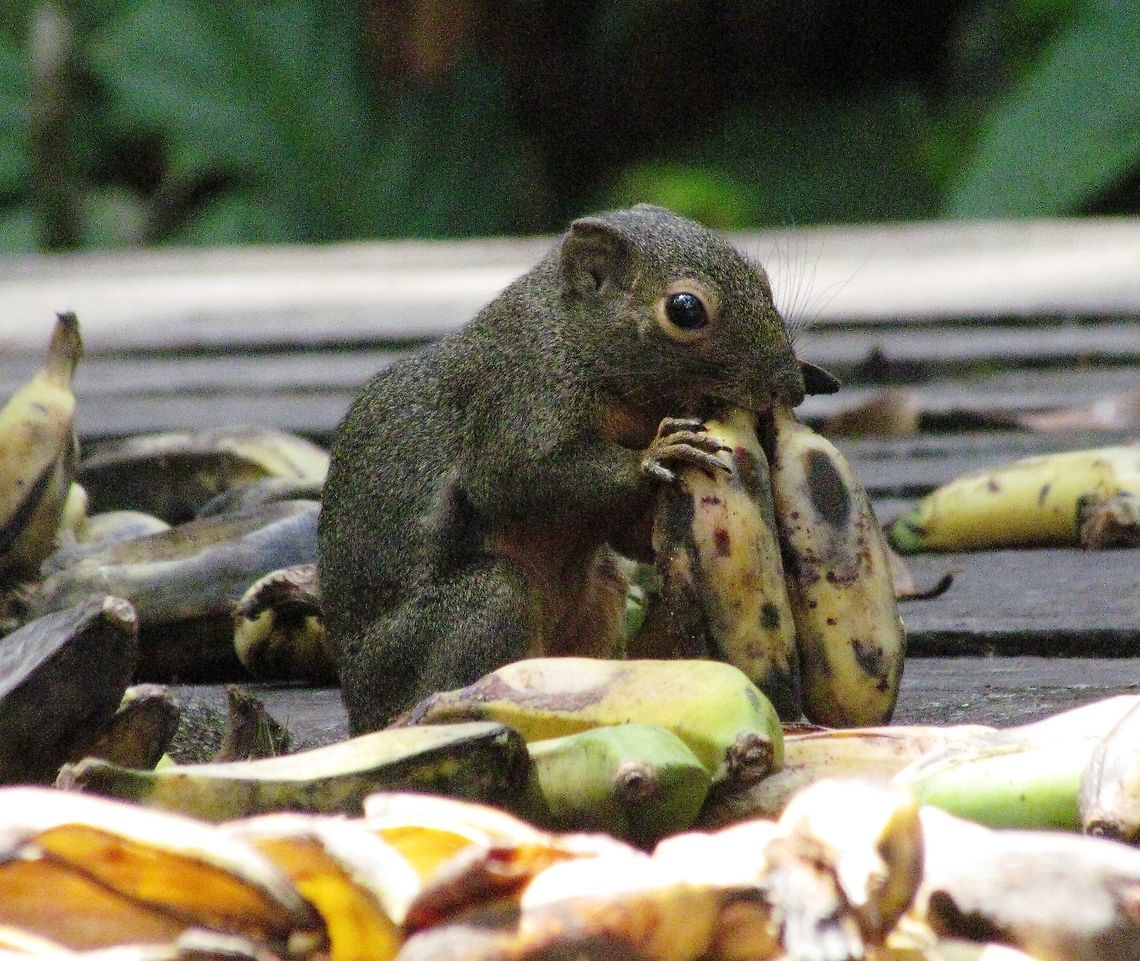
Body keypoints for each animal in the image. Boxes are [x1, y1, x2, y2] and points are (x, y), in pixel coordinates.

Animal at [318, 205, 836, 733]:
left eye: (761, 277)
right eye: (686, 310)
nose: (790, 388)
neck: (577, 341)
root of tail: (361, 708)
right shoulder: (519, 394)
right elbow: (515, 479)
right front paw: (657, 453)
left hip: (598, 598)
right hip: (466, 617)